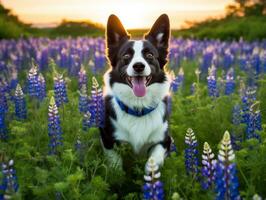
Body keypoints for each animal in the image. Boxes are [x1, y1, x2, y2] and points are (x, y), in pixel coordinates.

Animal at [100, 13, 172, 168]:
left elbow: (153, 161)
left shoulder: (165, 141)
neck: (139, 107)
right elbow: (115, 165)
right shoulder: (107, 139)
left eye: (150, 55)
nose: (138, 66)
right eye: (126, 56)